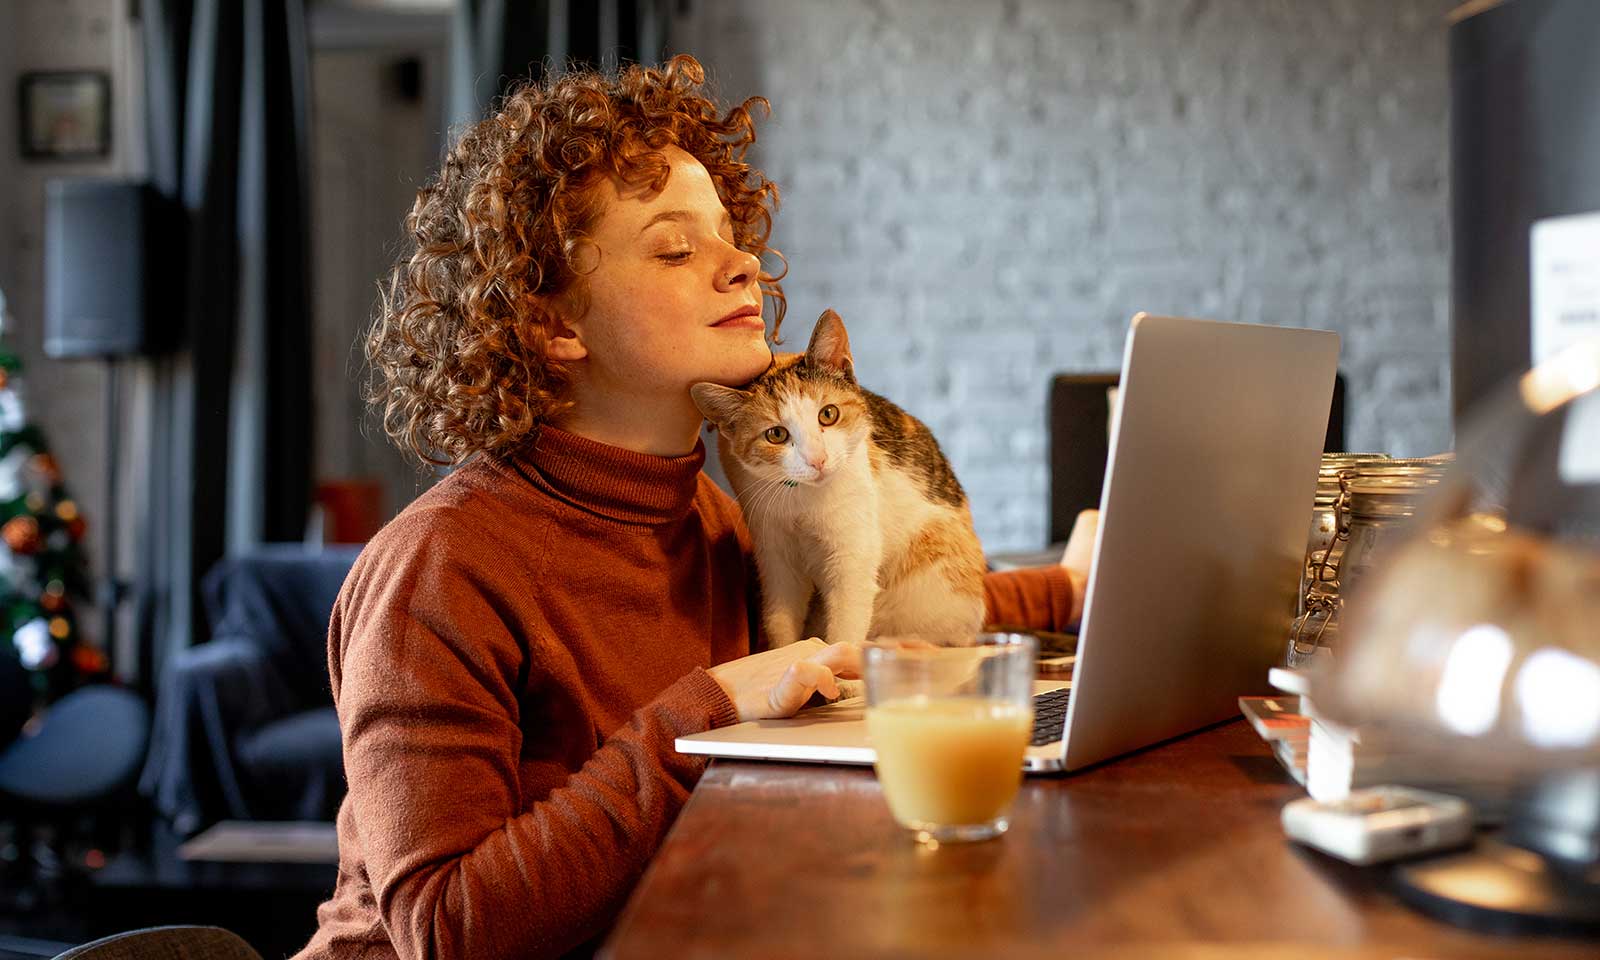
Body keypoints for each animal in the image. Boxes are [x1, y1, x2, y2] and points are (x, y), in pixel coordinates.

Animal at [691, 312, 985, 649]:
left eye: (828, 414)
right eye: (776, 434)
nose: (817, 460)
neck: (802, 501)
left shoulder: (852, 556)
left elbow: (845, 626)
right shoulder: (776, 556)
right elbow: (781, 620)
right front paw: (788, 651)